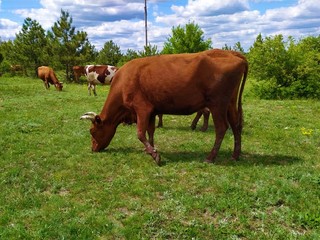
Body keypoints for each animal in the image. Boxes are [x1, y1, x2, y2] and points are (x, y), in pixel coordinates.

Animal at [80, 48, 248, 165]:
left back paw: (210, 157)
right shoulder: (152, 111)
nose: (93, 149)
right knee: (235, 125)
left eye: (92, 131)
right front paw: (150, 150)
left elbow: (140, 133)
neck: (123, 82)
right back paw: (235, 155)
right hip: (230, 104)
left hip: (217, 104)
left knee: (222, 128)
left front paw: (155, 155)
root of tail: (233, 53)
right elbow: (150, 131)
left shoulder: (142, 109)